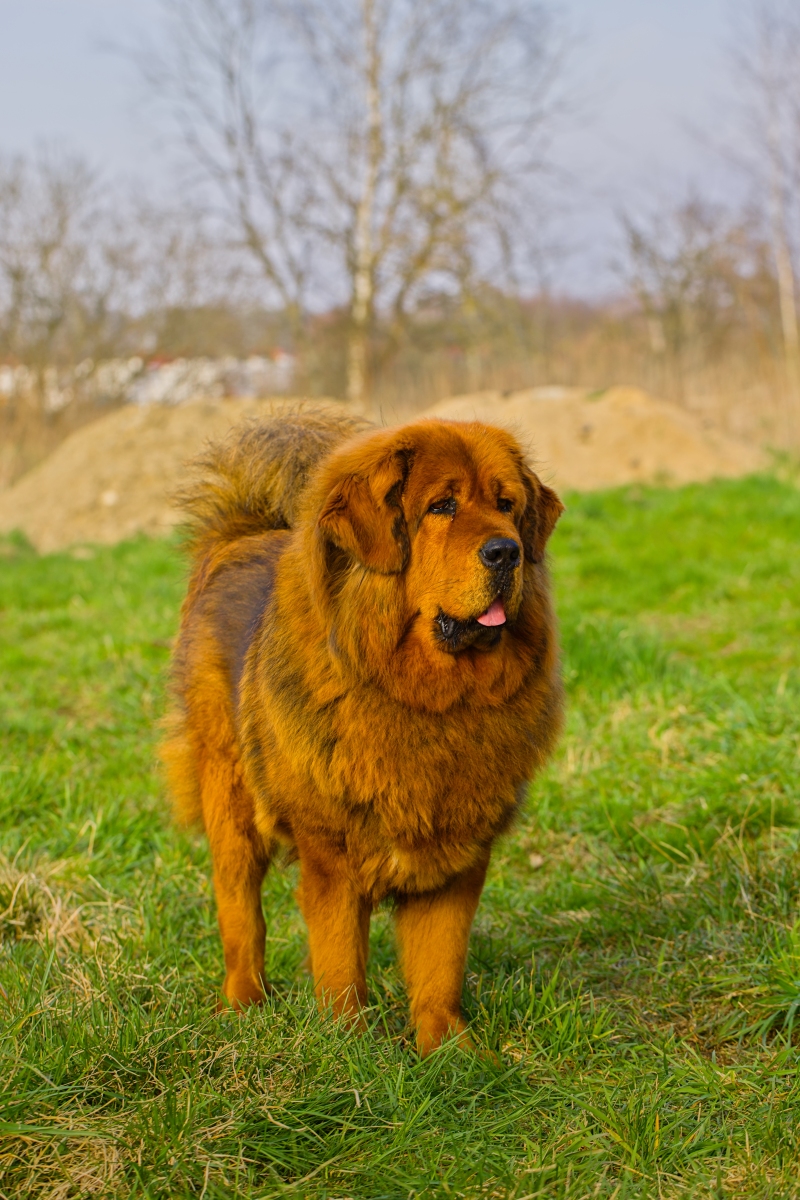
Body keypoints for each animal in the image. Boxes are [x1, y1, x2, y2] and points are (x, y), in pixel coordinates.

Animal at [163, 408, 563, 1056]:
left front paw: (448, 1049)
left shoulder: (456, 854)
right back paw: (244, 1003)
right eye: (442, 507)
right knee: (240, 912)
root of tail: (242, 535)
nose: (508, 551)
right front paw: (347, 1045)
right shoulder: (333, 855)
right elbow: (340, 961)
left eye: (507, 505)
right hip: (229, 801)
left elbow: (439, 962)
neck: (428, 700)